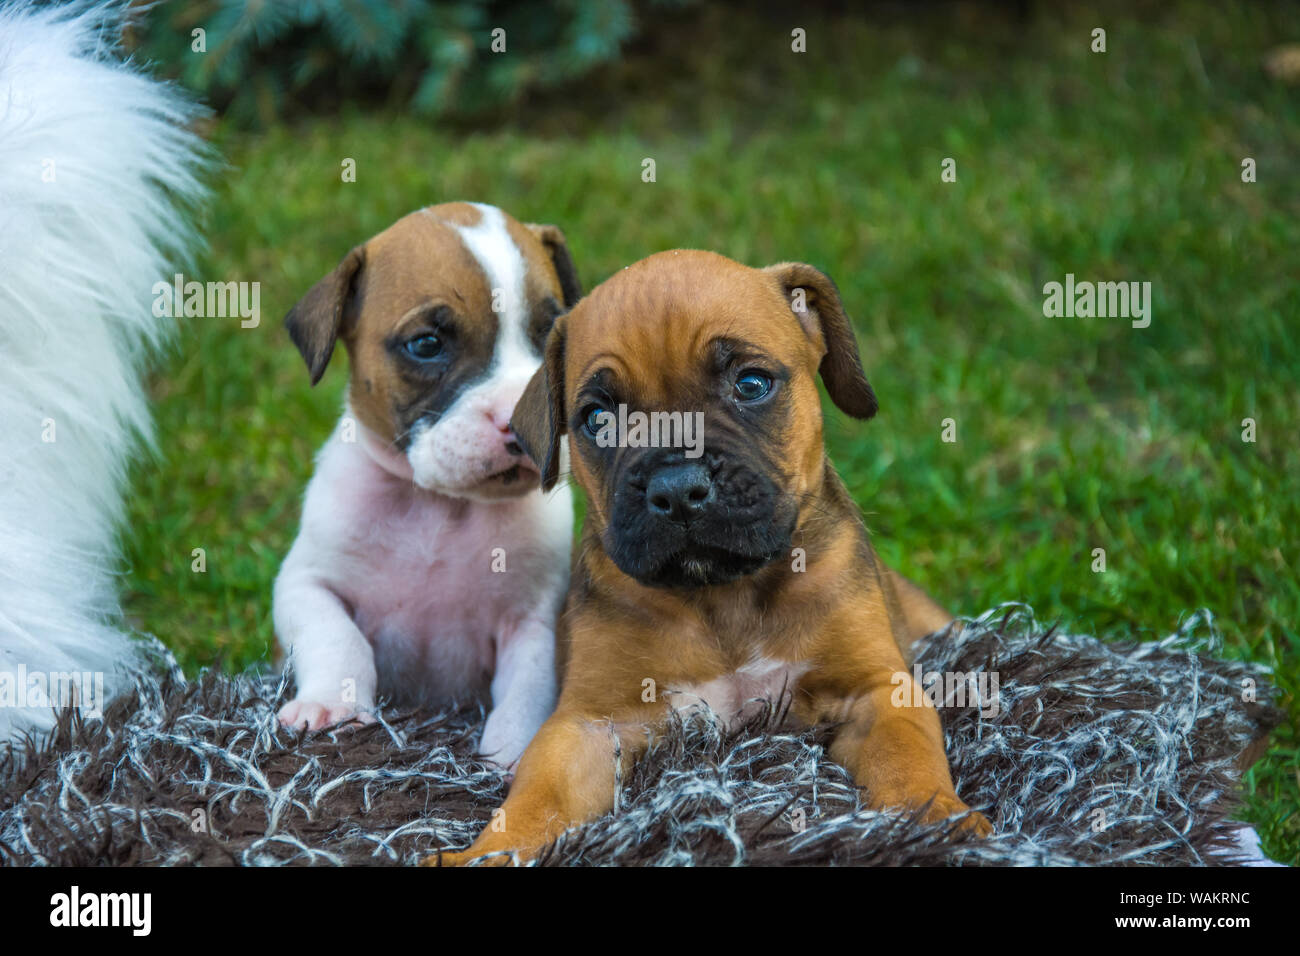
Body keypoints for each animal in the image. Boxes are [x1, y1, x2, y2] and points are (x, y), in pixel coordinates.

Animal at [274, 204, 579, 770]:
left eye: (551, 331)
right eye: (427, 345)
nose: (521, 422)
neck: (441, 506)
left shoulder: (537, 620)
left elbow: (527, 688)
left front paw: (516, 752)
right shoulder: (304, 582)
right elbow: (336, 636)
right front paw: (331, 706)